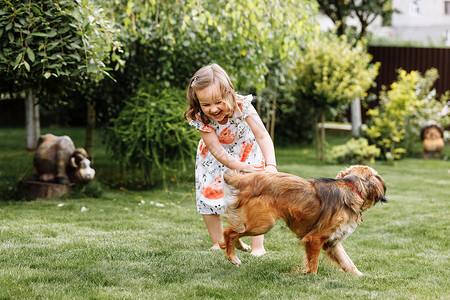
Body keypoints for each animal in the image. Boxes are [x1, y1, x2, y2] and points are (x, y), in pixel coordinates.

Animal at [220, 165, 384, 276]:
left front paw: (361, 277)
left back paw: (240, 247)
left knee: (236, 230)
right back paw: (233, 257)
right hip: (263, 224)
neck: (351, 188)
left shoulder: (333, 243)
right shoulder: (315, 238)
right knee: (229, 232)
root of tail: (246, 179)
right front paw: (310, 276)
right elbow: (314, 263)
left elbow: (347, 262)